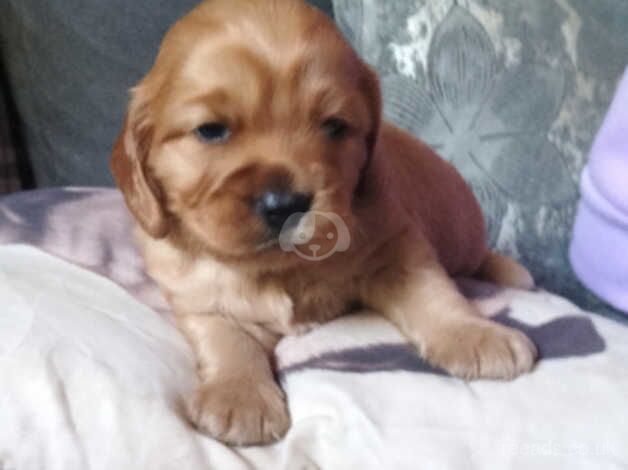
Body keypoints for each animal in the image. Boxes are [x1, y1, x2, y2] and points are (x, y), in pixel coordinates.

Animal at [110, 0, 536, 446]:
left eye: (334, 126)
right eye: (210, 130)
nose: (286, 204)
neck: (280, 269)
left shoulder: (398, 246)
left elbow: (434, 292)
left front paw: (474, 333)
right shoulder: (197, 298)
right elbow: (227, 339)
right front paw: (238, 396)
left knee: (478, 258)